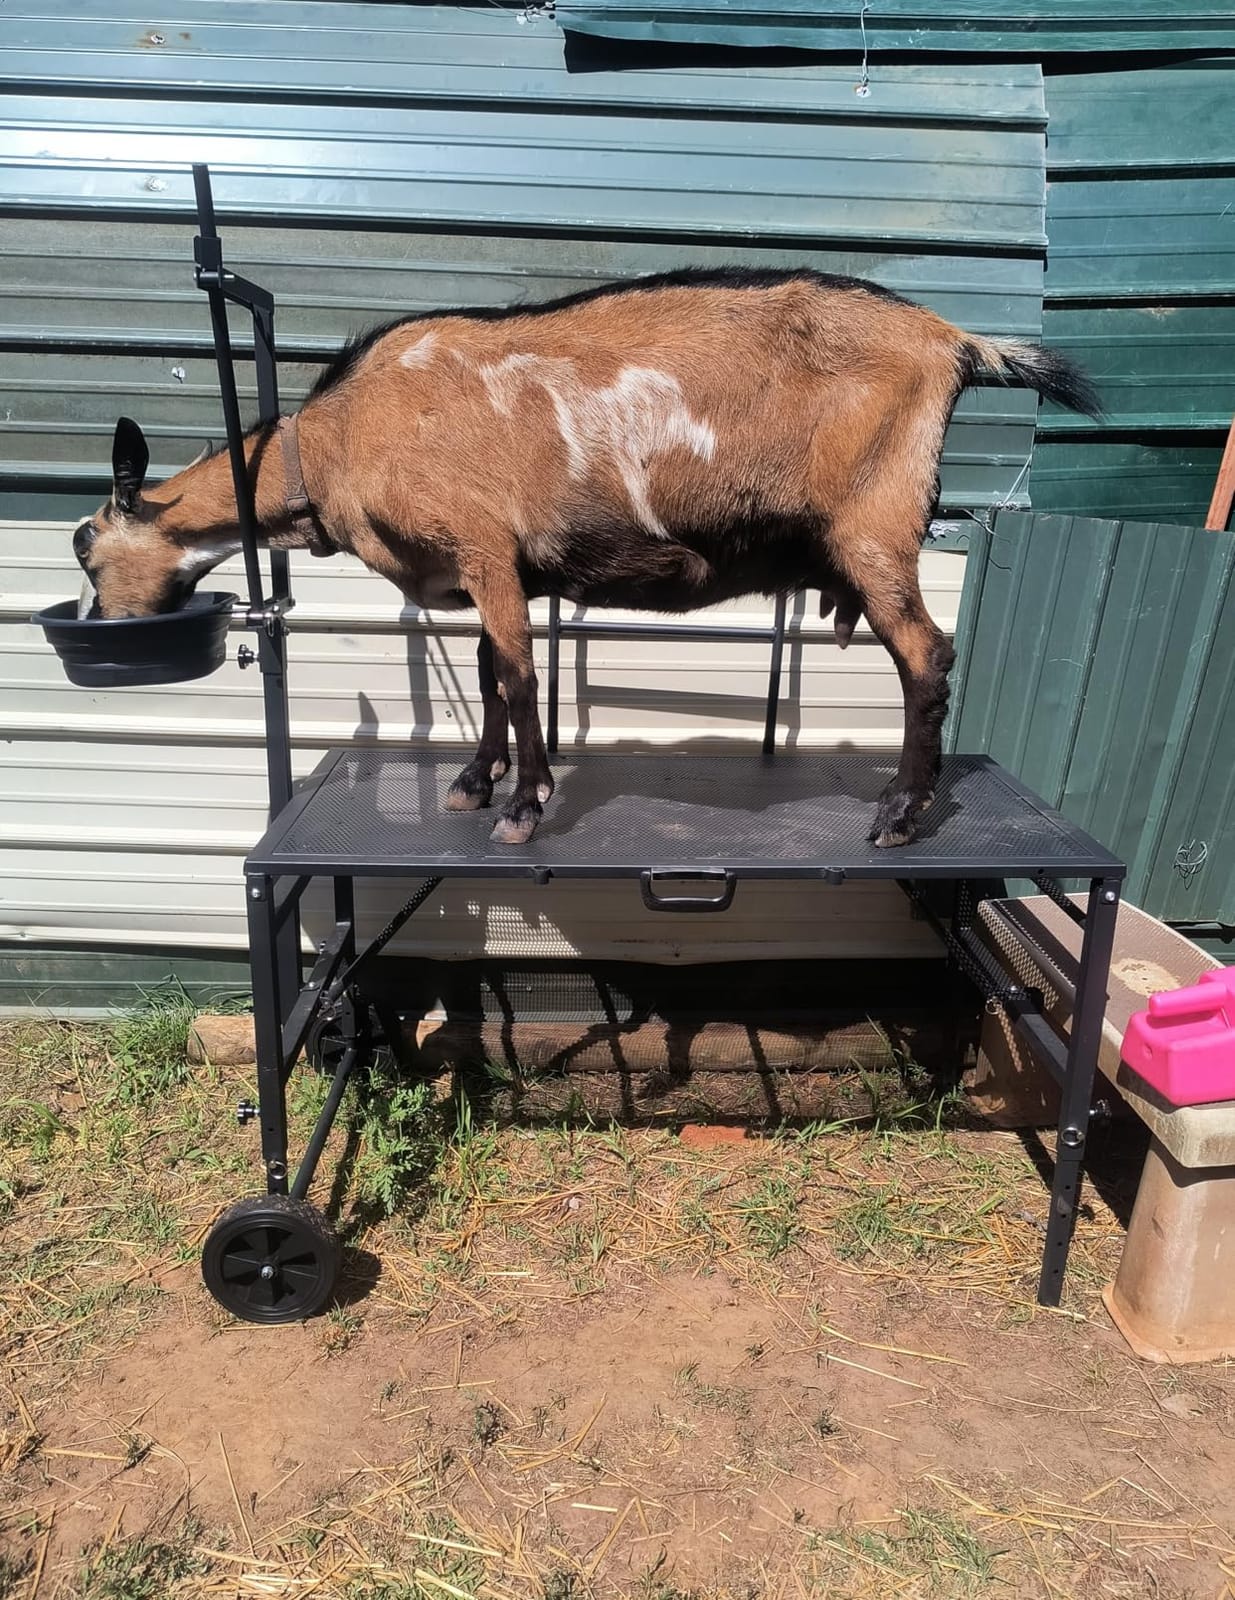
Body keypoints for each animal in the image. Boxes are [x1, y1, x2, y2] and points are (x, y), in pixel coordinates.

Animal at [74, 268, 1099, 846]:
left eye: (85, 549)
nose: (96, 622)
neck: (334, 440)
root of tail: (953, 340)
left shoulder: (482, 543)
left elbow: (519, 677)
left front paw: (524, 809)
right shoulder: (490, 571)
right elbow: (486, 672)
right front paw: (471, 784)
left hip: (874, 522)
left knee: (926, 654)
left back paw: (897, 815)